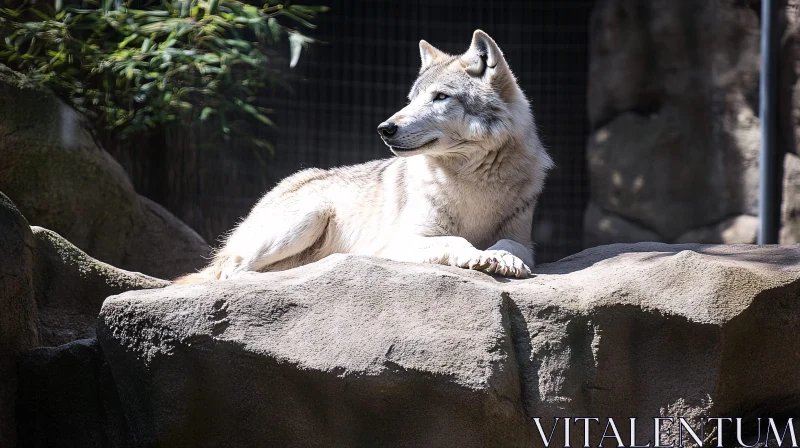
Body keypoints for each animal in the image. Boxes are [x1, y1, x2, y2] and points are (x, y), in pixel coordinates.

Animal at [174, 30, 552, 284]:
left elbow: (510, 245)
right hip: (308, 217)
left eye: (440, 97)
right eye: (412, 99)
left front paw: (501, 257)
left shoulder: (525, 239)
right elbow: (456, 240)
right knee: (231, 271)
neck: (472, 180)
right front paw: (479, 255)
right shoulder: (399, 243)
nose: (385, 128)